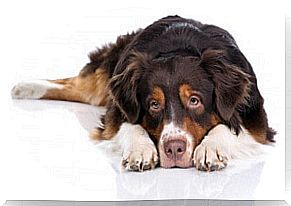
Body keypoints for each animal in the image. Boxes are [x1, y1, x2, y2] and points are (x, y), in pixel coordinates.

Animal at [10, 15, 276, 171]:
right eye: (153, 104)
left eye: (194, 100)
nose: (174, 150)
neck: (180, 48)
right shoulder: (117, 109)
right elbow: (129, 124)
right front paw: (140, 150)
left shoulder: (256, 119)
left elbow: (229, 127)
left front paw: (211, 148)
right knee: (80, 86)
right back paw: (24, 86)